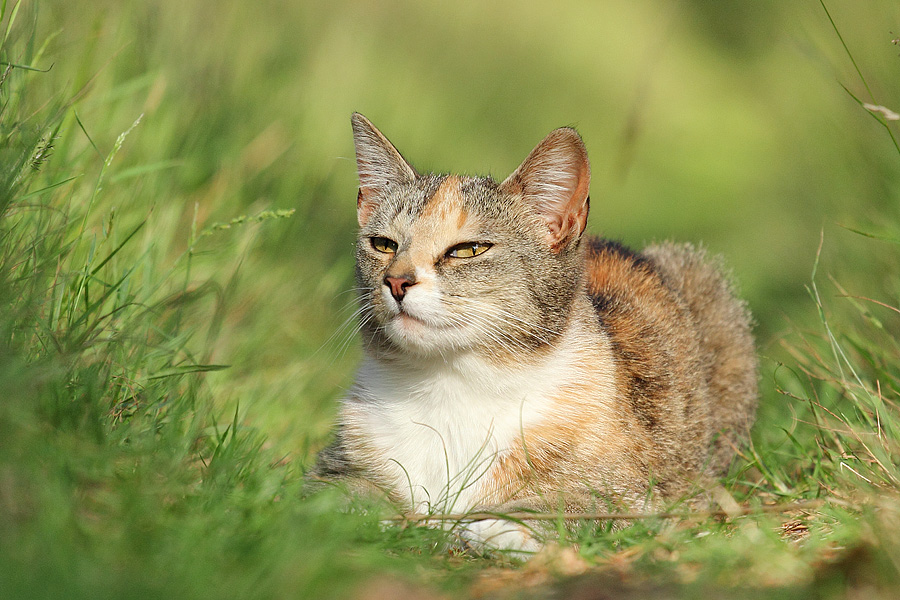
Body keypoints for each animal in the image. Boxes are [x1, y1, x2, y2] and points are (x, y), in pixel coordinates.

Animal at [312, 112, 756, 552]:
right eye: (384, 244)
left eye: (468, 250)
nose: (397, 281)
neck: (451, 383)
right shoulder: (328, 469)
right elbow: (336, 499)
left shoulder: (634, 496)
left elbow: (576, 508)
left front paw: (490, 525)